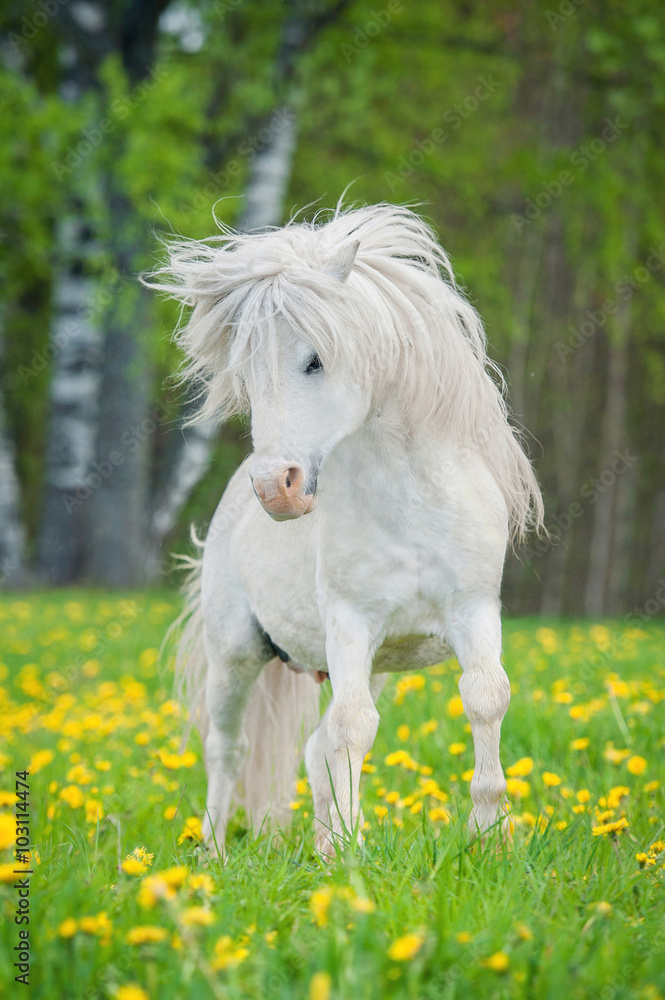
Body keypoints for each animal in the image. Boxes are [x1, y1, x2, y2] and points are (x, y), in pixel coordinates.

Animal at [153, 205, 544, 860]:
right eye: (247, 375)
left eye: (316, 359)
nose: (276, 489)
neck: (409, 509)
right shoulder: (350, 623)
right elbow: (355, 729)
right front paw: (352, 856)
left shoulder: (472, 611)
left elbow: (486, 698)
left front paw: (487, 839)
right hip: (235, 653)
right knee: (228, 749)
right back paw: (214, 855)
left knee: (315, 749)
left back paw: (320, 843)